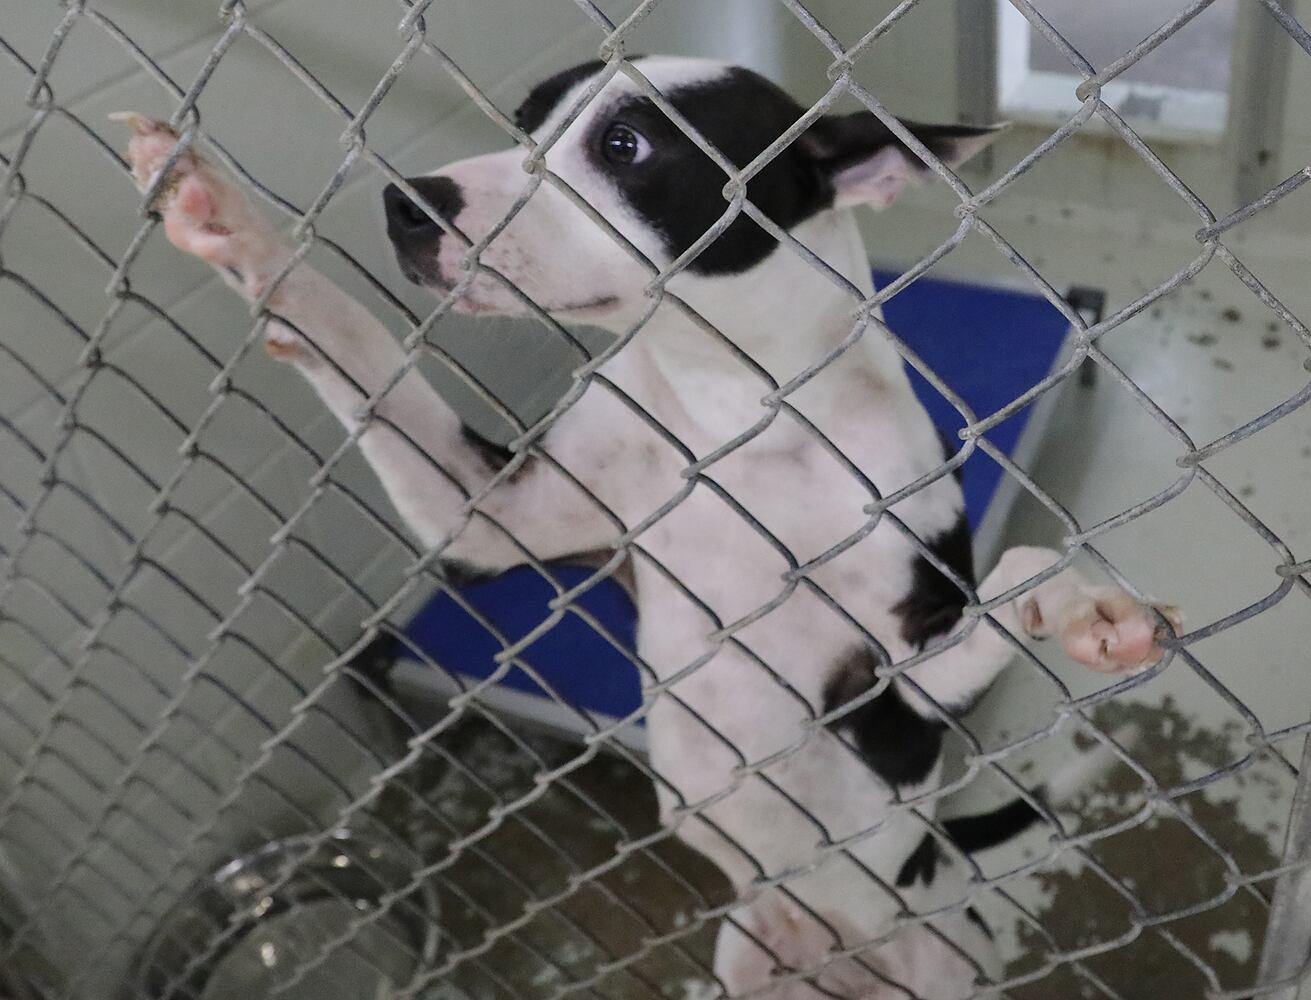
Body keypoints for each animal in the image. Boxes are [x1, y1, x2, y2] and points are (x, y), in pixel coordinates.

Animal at [120, 56, 1179, 1000]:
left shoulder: (888, 702)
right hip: (743, 954)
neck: (733, 412)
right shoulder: (485, 517)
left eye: (624, 145)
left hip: (943, 954)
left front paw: (1082, 609)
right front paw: (235, 225)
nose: (405, 205)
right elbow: (356, 342)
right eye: (525, 120)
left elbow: (1018, 581)